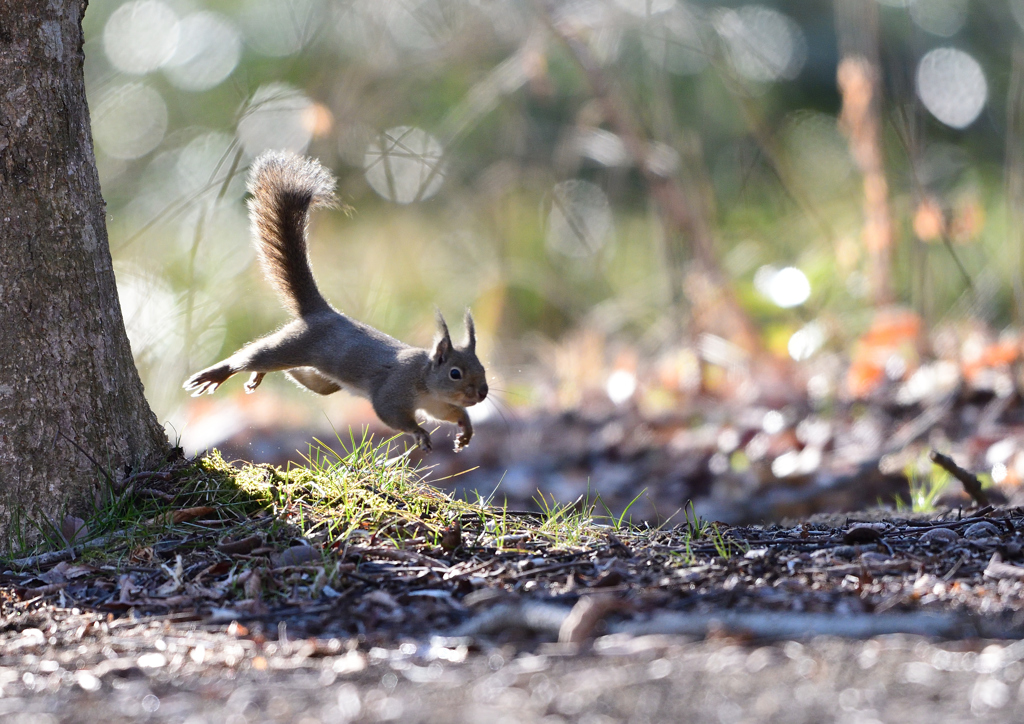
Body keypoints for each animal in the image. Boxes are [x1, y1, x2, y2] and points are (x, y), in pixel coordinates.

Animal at [184, 152, 487, 452]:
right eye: (455, 373)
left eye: (483, 368)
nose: (482, 393)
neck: (425, 379)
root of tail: (322, 312)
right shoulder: (393, 391)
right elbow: (391, 414)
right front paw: (419, 433)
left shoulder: (437, 405)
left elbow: (451, 413)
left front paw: (466, 429)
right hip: (291, 345)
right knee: (254, 355)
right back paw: (218, 373)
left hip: (322, 380)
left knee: (296, 374)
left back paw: (258, 375)